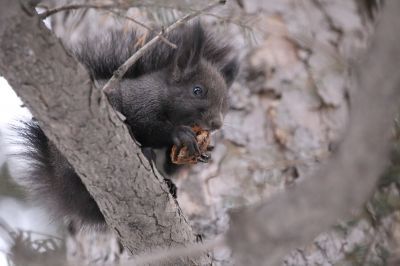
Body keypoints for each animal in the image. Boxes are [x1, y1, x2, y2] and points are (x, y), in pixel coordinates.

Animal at [14, 21, 238, 228]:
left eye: (226, 103)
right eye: (197, 90)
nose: (216, 124)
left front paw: (204, 151)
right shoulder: (140, 103)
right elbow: (148, 126)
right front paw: (180, 133)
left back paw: (168, 183)